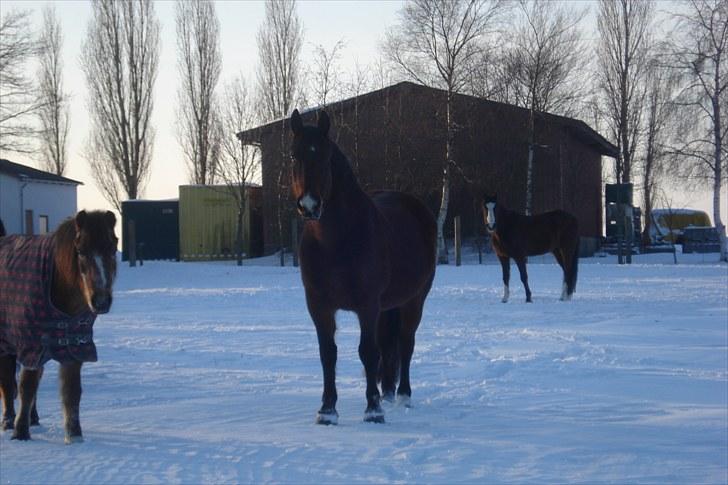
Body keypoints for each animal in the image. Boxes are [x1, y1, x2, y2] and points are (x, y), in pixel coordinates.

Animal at [0, 210, 116, 440]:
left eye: (113, 246)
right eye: (80, 250)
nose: (101, 301)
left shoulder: (75, 347)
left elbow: (72, 392)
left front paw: (75, 436)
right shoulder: (31, 344)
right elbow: (26, 386)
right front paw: (20, 433)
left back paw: (34, 419)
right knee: (7, 381)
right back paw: (9, 421)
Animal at [290, 109, 438, 424]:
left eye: (325, 156)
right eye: (294, 155)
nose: (309, 206)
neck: (335, 242)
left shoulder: (367, 305)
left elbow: (368, 352)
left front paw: (373, 411)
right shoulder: (318, 305)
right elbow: (328, 353)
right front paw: (327, 411)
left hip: (414, 300)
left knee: (406, 344)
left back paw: (403, 396)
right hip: (388, 307)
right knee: (389, 348)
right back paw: (388, 393)